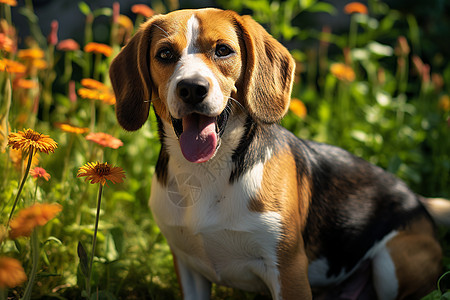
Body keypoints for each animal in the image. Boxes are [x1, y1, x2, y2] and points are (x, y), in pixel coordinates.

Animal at [110, 7, 448, 300]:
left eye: (223, 50)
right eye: (165, 54)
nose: (192, 88)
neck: (207, 172)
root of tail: (418, 202)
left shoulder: (289, 271)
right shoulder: (188, 266)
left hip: (391, 263)